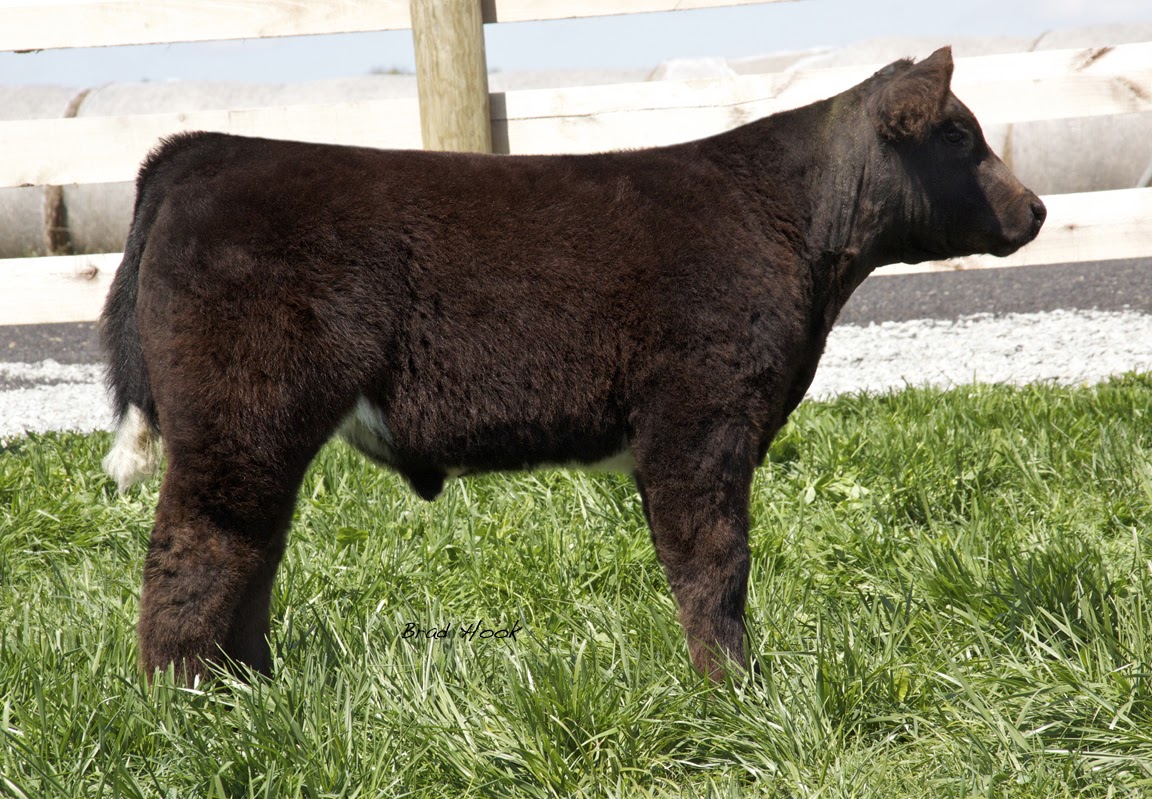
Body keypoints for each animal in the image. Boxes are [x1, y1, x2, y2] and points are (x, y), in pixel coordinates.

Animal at [100, 47, 1045, 684]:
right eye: (958, 134)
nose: (1036, 208)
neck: (796, 232)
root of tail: (205, 148)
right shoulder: (701, 420)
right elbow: (714, 560)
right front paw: (731, 689)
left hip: (259, 433)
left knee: (253, 551)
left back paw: (250, 688)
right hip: (236, 423)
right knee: (195, 550)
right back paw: (186, 699)